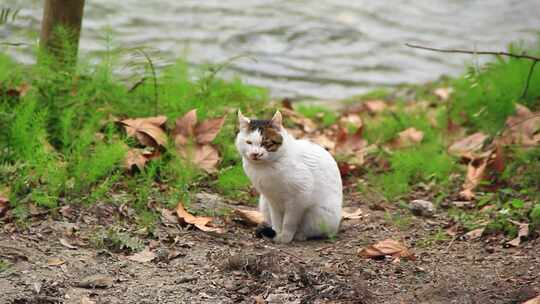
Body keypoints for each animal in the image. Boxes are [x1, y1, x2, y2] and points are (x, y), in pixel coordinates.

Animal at [235, 110, 342, 243]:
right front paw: (277, 233)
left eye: (266, 142)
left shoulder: (299, 197)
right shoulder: (272, 200)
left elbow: (289, 221)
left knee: (315, 231)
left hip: (319, 213)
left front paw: (285, 237)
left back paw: (300, 235)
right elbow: (276, 220)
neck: (265, 168)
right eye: (249, 142)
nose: (255, 154)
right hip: (264, 203)